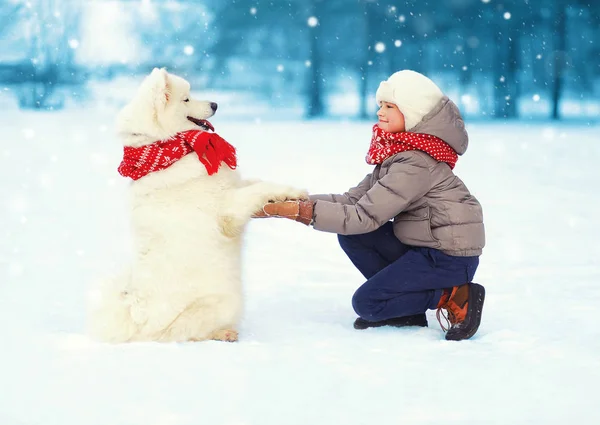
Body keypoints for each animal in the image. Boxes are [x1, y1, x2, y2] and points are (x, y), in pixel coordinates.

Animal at [86, 68, 308, 342]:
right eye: (186, 99)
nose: (215, 104)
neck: (171, 150)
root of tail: (137, 322)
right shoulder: (226, 209)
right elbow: (257, 189)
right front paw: (291, 192)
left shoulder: (233, 187)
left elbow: (256, 183)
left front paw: (286, 195)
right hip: (222, 303)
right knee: (188, 334)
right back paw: (224, 333)